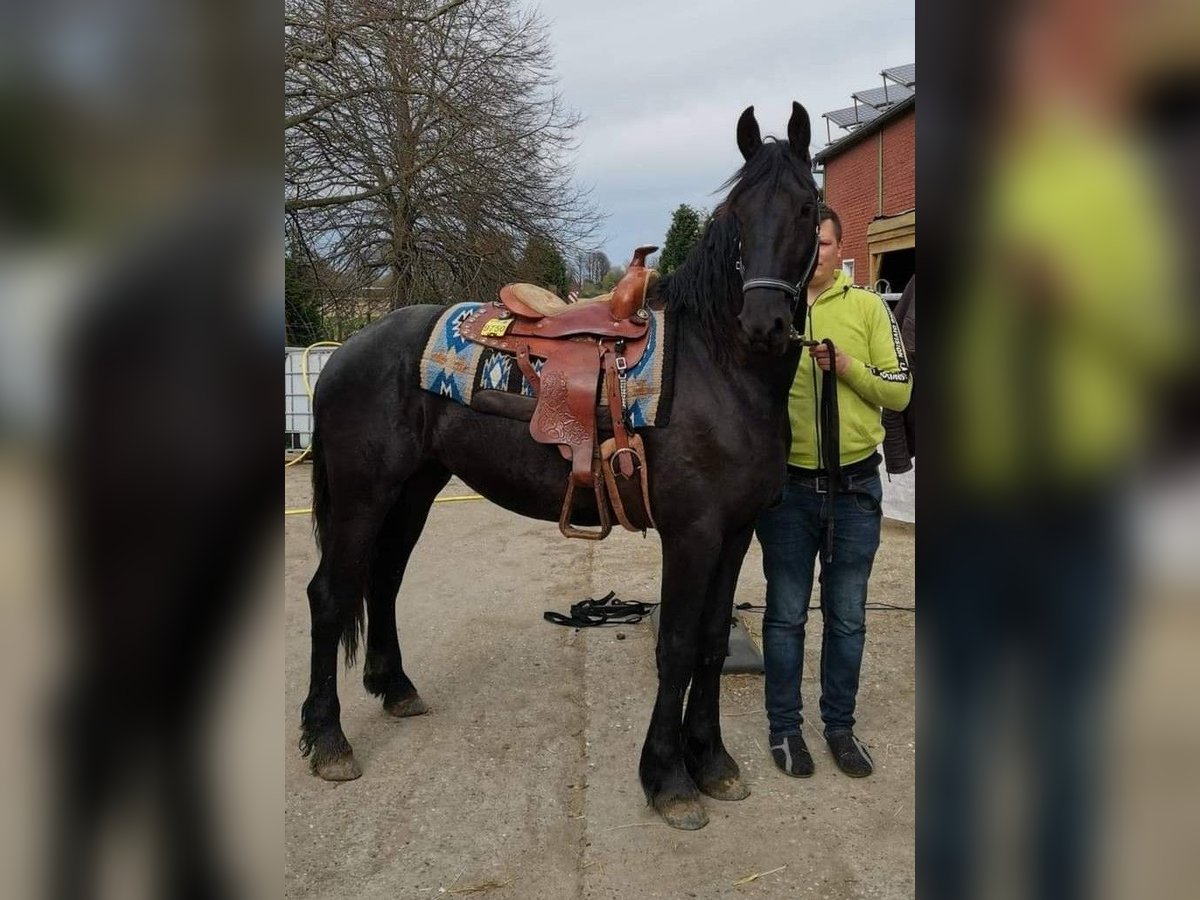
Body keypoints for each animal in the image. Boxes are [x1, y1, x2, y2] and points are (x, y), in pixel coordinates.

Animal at [302, 103, 825, 830]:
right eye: (738, 214)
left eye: (806, 207)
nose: (765, 323)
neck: (716, 369)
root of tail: (347, 353)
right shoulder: (692, 533)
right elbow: (678, 645)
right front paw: (669, 778)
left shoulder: (736, 531)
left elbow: (714, 642)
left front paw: (713, 761)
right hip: (361, 494)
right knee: (329, 595)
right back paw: (328, 739)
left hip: (412, 492)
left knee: (382, 581)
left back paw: (396, 686)